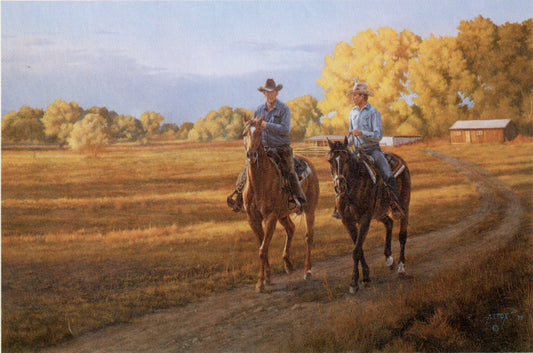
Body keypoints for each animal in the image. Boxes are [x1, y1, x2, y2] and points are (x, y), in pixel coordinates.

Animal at [242, 115, 320, 292]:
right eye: (244, 133)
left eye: (259, 132)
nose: (251, 155)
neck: (260, 182)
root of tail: (309, 164)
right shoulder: (253, 219)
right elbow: (262, 246)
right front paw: (267, 278)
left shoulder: (270, 217)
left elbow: (263, 249)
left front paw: (260, 283)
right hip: (283, 214)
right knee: (291, 229)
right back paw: (288, 264)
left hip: (310, 209)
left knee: (309, 236)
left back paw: (308, 271)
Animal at [326, 136, 410, 292]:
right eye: (330, 160)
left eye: (347, 159)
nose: (340, 186)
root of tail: (400, 160)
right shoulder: (348, 221)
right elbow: (358, 248)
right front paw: (365, 276)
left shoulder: (365, 218)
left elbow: (356, 250)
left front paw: (355, 282)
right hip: (379, 213)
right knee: (389, 223)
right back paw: (388, 259)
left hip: (404, 207)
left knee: (402, 236)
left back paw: (401, 268)